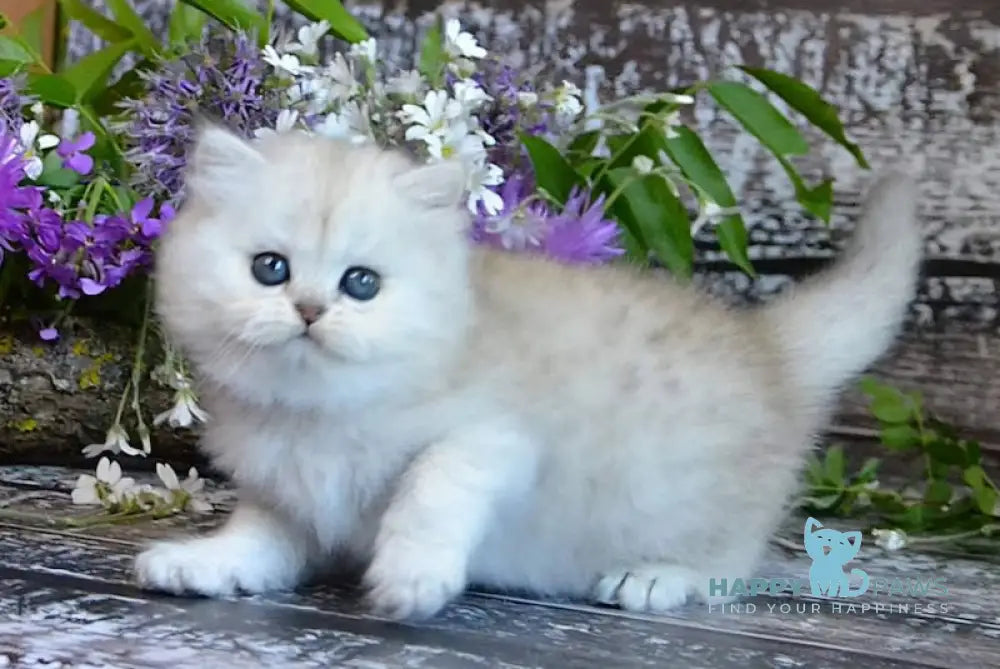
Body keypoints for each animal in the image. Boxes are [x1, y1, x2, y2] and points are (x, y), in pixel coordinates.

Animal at [135, 122, 920, 620]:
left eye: (361, 284)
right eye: (270, 269)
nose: (307, 310)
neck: (319, 412)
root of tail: (766, 341)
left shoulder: (496, 440)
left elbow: (430, 488)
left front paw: (412, 575)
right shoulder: (292, 502)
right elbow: (255, 543)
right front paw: (203, 564)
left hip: (683, 497)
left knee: (727, 561)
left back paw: (655, 576)